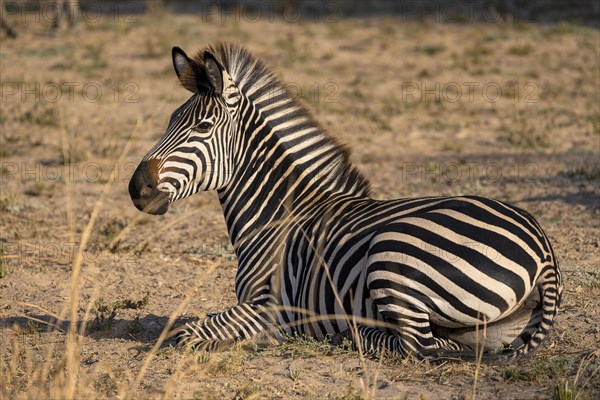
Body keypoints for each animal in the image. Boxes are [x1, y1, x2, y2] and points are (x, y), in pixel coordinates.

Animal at [127, 43, 564, 362]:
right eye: (170, 121)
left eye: (202, 127)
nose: (137, 189)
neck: (276, 214)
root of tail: (543, 248)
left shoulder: (273, 306)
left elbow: (187, 332)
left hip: (393, 254)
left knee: (424, 346)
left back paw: (348, 334)